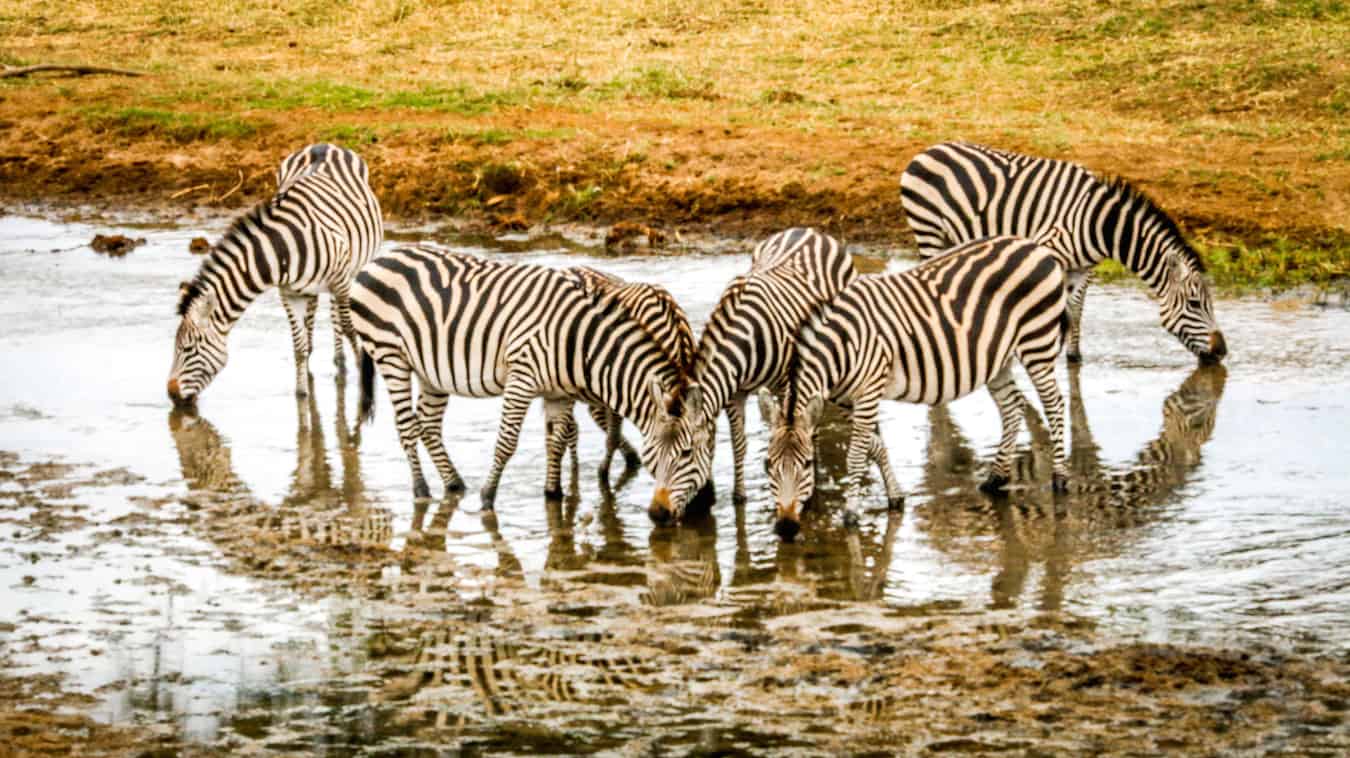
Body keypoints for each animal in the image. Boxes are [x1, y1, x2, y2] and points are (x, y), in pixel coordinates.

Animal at [168, 140, 383, 408]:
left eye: (188, 349)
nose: (171, 394)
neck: (283, 249)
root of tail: (322, 144)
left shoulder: (340, 280)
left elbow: (349, 329)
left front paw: (362, 378)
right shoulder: (289, 293)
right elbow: (298, 347)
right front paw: (302, 393)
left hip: (349, 270)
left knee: (338, 316)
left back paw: (341, 362)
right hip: (314, 286)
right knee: (316, 314)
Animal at [351, 247, 685, 508]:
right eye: (686, 453)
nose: (676, 515)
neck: (578, 339)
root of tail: (376, 260)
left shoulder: (558, 391)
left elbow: (556, 439)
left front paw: (554, 493)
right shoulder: (522, 375)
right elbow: (508, 442)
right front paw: (488, 497)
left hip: (430, 371)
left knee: (428, 426)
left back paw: (455, 484)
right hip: (390, 355)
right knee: (407, 426)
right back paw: (422, 490)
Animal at [645, 225, 858, 526]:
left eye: (686, 453)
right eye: (652, 451)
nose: (657, 514)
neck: (745, 341)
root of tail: (807, 230)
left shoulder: (788, 382)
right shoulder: (734, 393)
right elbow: (739, 444)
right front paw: (739, 497)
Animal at [766, 233, 1069, 540]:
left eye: (807, 464)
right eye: (768, 465)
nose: (786, 528)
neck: (842, 346)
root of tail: (1034, 246)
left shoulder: (869, 390)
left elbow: (856, 454)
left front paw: (851, 513)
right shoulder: (847, 399)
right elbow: (875, 446)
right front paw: (895, 496)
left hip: (1037, 341)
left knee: (1054, 403)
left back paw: (1059, 478)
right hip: (998, 356)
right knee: (1012, 407)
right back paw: (996, 478)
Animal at [901, 142, 1231, 367]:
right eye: (1194, 304)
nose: (1222, 351)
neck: (1102, 224)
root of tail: (926, 151)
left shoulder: (1084, 267)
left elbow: (1075, 309)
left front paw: (1072, 355)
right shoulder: (1048, 249)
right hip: (928, 230)